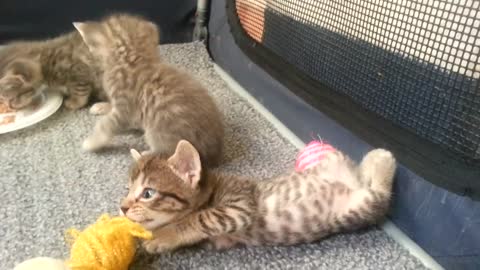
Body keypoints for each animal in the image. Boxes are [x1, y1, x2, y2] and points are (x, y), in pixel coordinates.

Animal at [74, 14, 224, 167]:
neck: (133, 61)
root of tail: (214, 153)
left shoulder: (125, 109)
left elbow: (106, 124)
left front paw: (91, 142)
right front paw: (102, 106)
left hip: (158, 133)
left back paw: (146, 154)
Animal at [121, 139, 398, 253]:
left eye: (147, 193)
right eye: (127, 189)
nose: (122, 207)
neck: (211, 191)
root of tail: (348, 179)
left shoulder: (241, 203)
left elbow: (200, 218)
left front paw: (164, 235)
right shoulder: (219, 240)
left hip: (360, 207)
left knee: (380, 195)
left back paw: (383, 157)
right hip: (346, 183)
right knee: (364, 180)